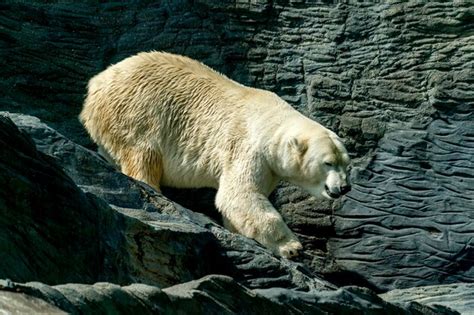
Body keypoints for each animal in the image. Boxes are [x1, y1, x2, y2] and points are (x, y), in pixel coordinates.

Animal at [79, 51, 350, 260]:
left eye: (346, 163)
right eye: (328, 163)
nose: (344, 187)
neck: (271, 122)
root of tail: (96, 84)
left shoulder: (270, 167)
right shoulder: (249, 148)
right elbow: (240, 195)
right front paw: (291, 247)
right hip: (136, 114)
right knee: (143, 156)